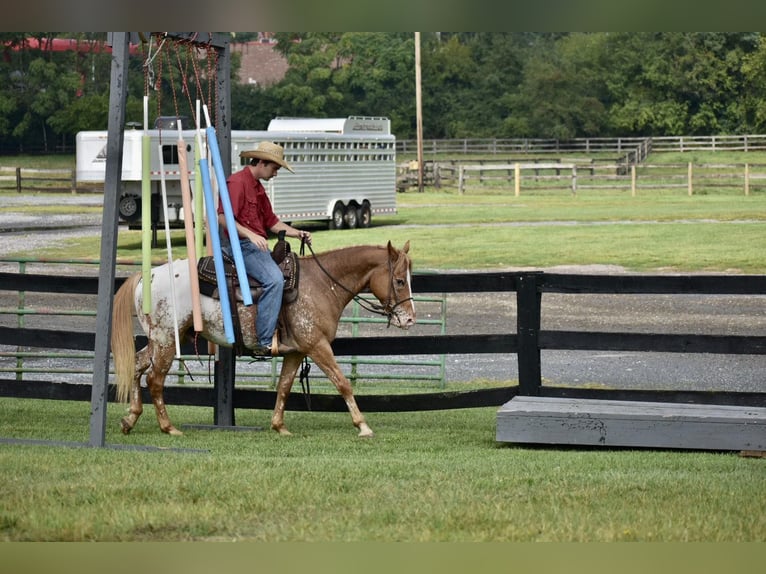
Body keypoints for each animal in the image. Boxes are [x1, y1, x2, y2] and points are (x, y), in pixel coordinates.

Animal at [111, 241, 416, 438]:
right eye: (399, 281)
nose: (410, 319)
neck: (321, 284)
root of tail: (148, 275)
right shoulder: (317, 346)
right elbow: (343, 384)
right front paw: (362, 425)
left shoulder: (296, 352)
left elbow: (284, 387)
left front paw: (279, 426)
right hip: (166, 340)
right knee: (155, 380)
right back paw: (168, 427)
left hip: (156, 340)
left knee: (136, 366)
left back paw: (130, 418)